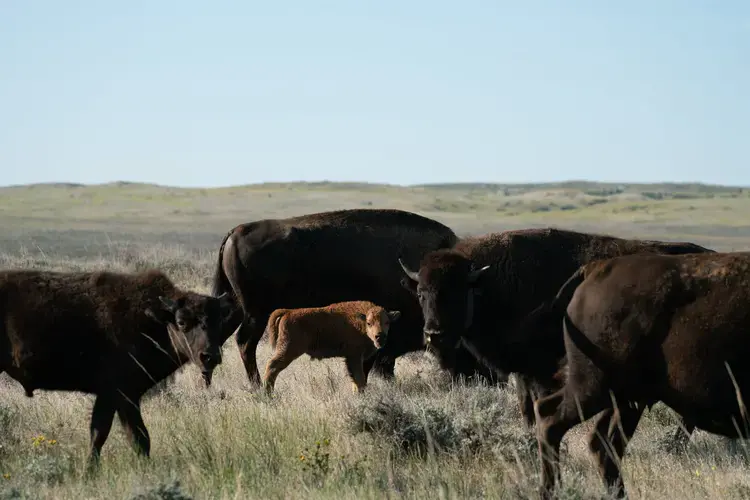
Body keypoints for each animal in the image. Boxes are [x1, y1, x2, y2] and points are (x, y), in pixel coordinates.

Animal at [0, 268, 234, 466]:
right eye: (182, 322)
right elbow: (117, 435)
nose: (209, 356)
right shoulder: (118, 395)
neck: (153, 319)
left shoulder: (120, 397)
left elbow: (122, 436)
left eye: (219, 321)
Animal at [262, 300, 402, 394]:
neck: (360, 322)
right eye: (369, 323)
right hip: (288, 350)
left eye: (387, 322)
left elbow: (356, 380)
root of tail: (288, 312)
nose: (380, 336)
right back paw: (268, 394)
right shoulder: (354, 357)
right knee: (272, 366)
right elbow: (359, 378)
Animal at [396, 227, 712, 426]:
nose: (434, 334)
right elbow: (525, 406)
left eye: (458, 292)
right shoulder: (523, 369)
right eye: (421, 293)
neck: (491, 282)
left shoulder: (542, 368)